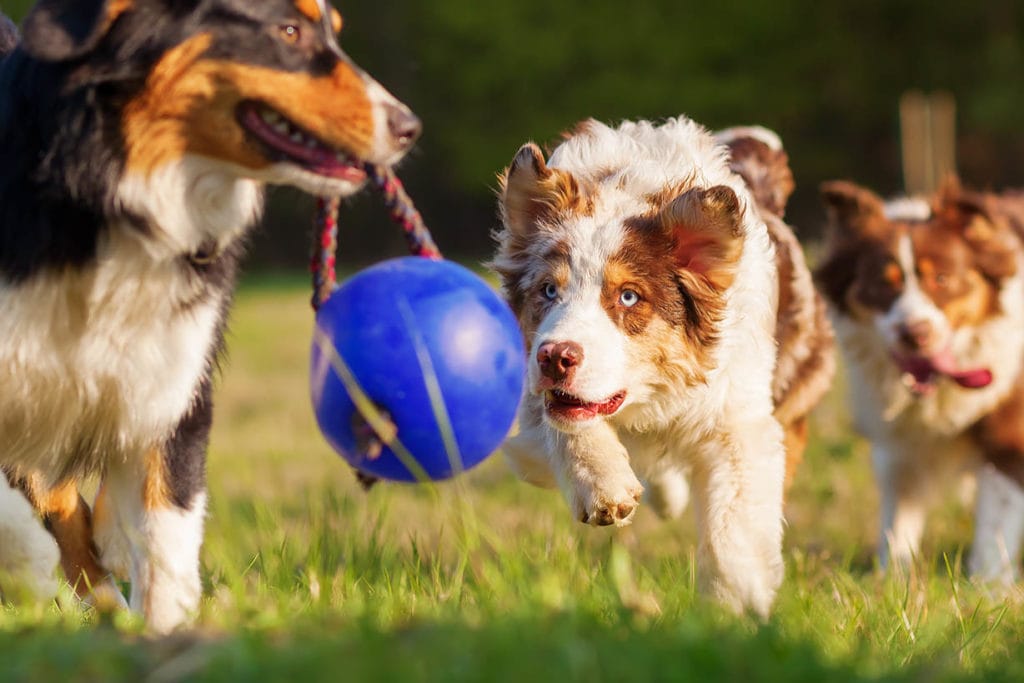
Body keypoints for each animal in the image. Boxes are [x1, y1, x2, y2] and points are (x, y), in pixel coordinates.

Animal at [0, 0, 419, 634]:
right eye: (288, 31)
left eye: (335, 33)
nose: (407, 127)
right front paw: (29, 561)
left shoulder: (176, 372)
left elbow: (167, 529)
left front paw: (166, 632)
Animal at [491, 116, 835, 614]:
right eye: (548, 291)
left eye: (628, 297)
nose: (555, 357)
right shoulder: (532, 394)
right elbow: (564, 422)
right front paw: (605, 486)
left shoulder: (740, 420)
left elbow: (733, 528)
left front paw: (735, 607)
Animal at [815, 179, 1024, 581]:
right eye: (882, 284)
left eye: (942, 279)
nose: (915, 334)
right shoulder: (899, 439)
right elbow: (900, 512)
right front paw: (891, 579)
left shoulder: (1009, 429)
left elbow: (996, 519)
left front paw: (988, 583)